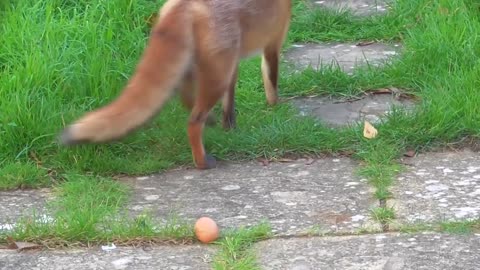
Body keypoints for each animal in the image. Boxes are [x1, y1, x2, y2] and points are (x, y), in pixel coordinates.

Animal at [60, 0, 292, 169]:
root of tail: (184, 4)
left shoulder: (233, 65)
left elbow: (229, 106)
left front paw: (230, 129)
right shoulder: (273, 44)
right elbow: (271, 83)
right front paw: (276, 108)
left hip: (204, 67)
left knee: (186, 98)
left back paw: (210, 121)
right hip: (216, 75)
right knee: (193, 121)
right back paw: (202, 161)